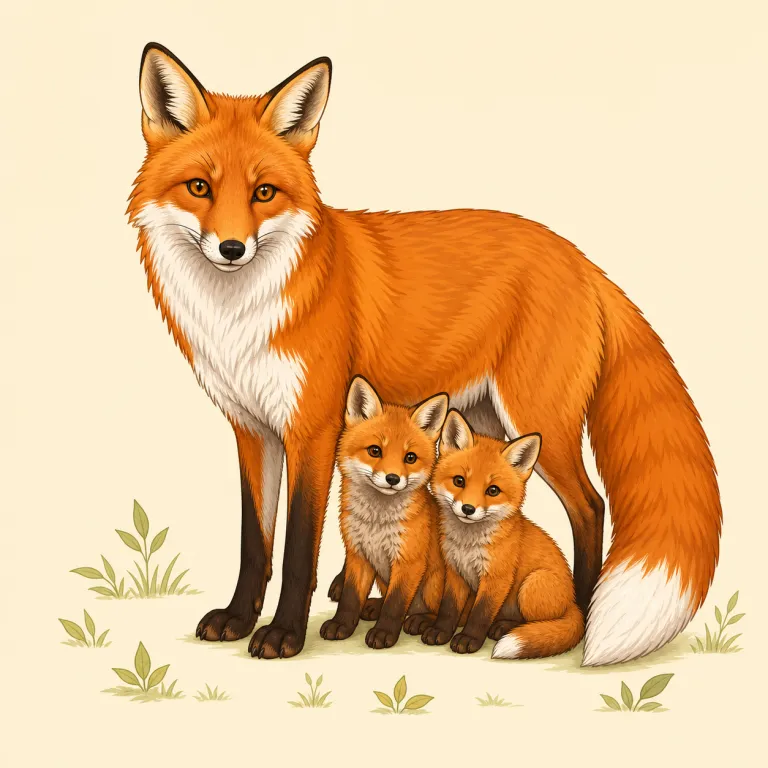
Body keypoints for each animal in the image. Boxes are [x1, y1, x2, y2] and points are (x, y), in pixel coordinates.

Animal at [320, 377, 448, 649]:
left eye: (410, 457)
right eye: (375, 451)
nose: (392, 478)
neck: (376, 523)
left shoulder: (408, 561)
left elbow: (395, 604)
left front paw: (384, 633)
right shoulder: (358, 555)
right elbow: (349, 598)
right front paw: (342, 625)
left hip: (433, 584)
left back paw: (422, 621)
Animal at [422, 409, 584, 659]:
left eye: (493, 490)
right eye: (459, 481)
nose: (468, 509)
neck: (467, 545)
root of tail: (574, 603)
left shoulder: (497, 578)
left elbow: (481, 613)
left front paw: (469, 639)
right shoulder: (455, 573)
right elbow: (448, 608)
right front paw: (440, 631)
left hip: (531, 586)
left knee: (538, 622)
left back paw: (503, 628)